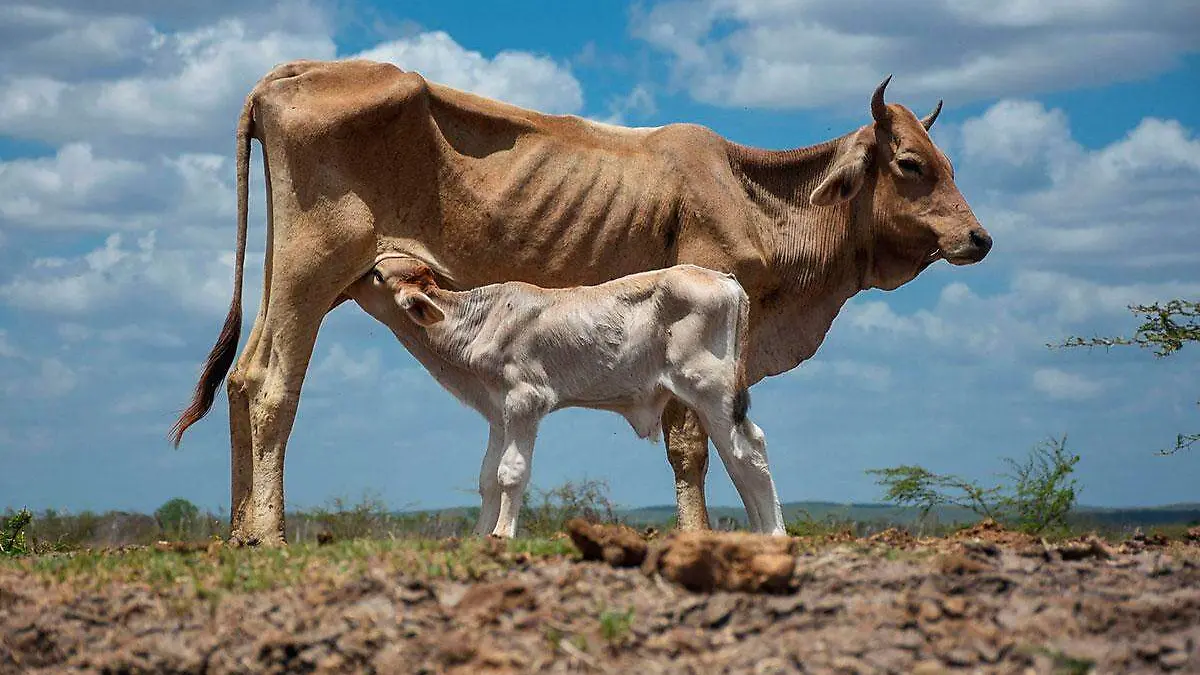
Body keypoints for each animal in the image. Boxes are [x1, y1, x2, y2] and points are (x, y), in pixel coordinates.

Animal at [345, 253, 787, 535]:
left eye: (376, 276)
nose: (347, 281)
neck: (479, 322)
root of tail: (724, 279)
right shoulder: (498, 412)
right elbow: (488, 477)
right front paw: (479, 536)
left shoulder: (526, 400)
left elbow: (511, 472)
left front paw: (501, 535)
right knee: (738, 456)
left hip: (709, 388)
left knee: (747, 452)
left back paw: (774, 534)